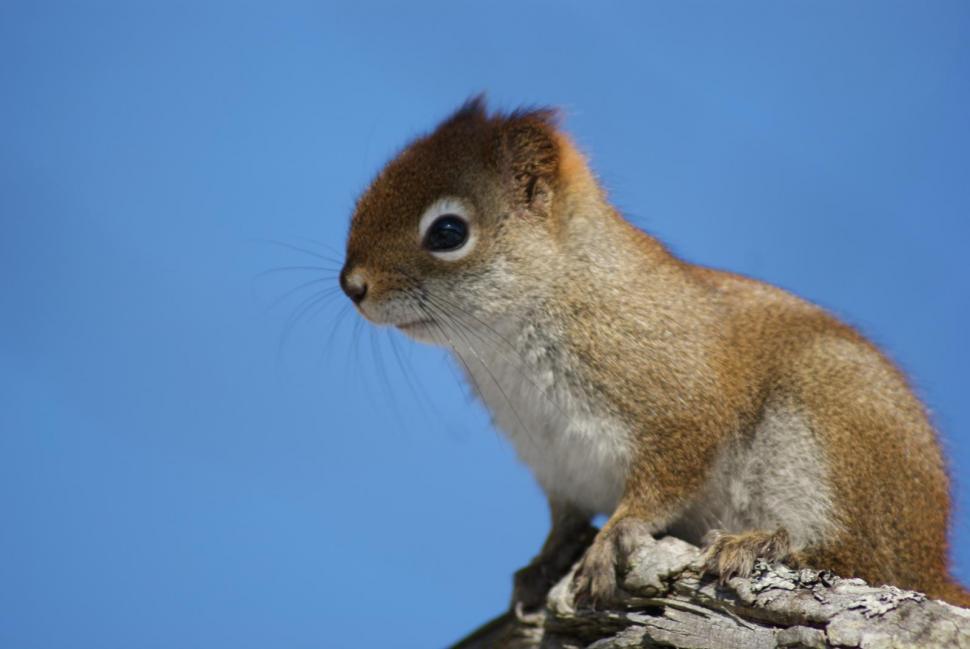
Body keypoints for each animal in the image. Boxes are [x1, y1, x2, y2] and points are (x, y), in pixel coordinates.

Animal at [339, 96, 970, 610]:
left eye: (447, 232)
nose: (352, 286)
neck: (507, 343)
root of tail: (929, 561)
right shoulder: (558, 462)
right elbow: (563, 519)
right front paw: (545, 561)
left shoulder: (680, 401)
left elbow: (665, 479)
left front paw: (614, 535)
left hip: (829, 427)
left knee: (856, 556)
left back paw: (763, 542)